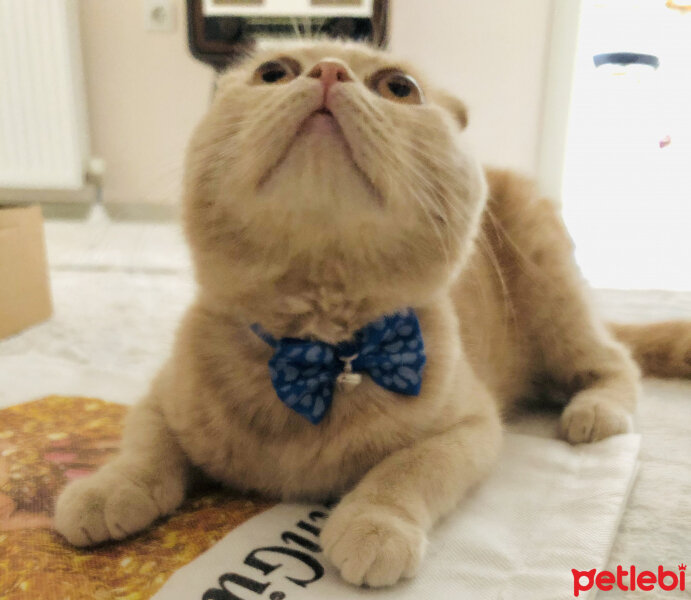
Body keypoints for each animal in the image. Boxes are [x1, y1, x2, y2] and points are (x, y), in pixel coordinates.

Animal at [55, 42, 691, 584]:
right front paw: (106, 488)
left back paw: (596, 410)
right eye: (274, 73)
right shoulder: (160, 397)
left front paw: (374, 523)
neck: (317, 352)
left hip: (553, 291)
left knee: (616, 361)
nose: (329, 70)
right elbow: (145, 448)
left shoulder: (472, 426)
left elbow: (406, 469)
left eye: (398, 87)